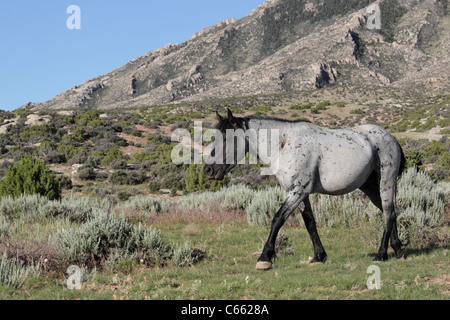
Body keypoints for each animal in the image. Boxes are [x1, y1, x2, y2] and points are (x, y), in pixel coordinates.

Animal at [204, 109, 408, 270]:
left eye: (226, 137)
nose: (208, 170)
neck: (284, 144)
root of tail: (391, 137)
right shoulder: (301, 193)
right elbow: (309, 222)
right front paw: (319, 256)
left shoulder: (298, 191)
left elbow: (277, 219)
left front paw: (265, 258)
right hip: (370, 187)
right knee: (390, 212)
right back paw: (398, 250)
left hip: (386, 182)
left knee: (388, 213)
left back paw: (381, 254)